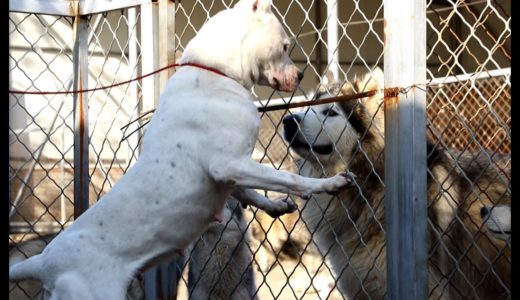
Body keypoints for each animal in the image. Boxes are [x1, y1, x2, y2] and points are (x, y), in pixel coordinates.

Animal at [9, 1, 354, 298]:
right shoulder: (229, 164)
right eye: (284, 46)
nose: (300, 75)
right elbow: (287, 177)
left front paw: (275, 206)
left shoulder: (229, 175)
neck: (213, 71)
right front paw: (328, 184)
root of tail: (44, 262)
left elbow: (251, 192)